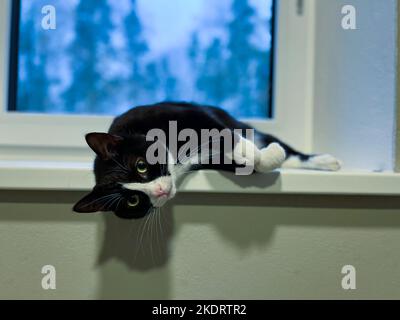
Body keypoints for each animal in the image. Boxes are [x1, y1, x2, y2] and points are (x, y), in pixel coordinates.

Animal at [72, 102, 340, 220]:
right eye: (133, 201)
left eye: (141, 166)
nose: (159, 190)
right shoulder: (215, 160)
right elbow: (239, 162)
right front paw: (261, 157)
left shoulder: (187, 113)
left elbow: (221, 130)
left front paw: (255, 152)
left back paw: (324, 160)